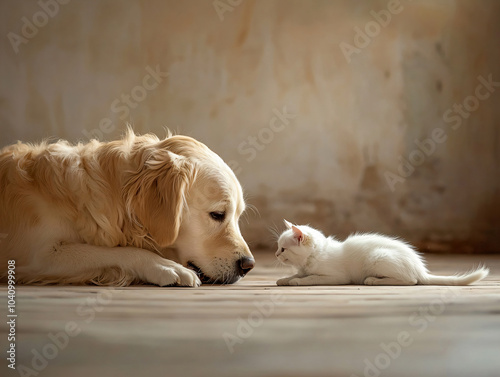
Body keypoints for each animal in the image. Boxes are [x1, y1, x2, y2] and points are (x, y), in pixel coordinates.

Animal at [0, 129, 256, 284]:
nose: (248, 265)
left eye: (237, 216)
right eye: (217, 214)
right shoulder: (40, 254)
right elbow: (113, 251)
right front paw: (165, 266)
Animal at [274, 220, 488, 284]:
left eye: (283, 249)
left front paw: (295, 281)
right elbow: (296, 275)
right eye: (278, 247)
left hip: (377, 257)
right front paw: (284, 279)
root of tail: (420, 269)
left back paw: (373, 280)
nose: (275, 255)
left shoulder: (336, 277)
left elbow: (311, 278)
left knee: (411, 281)